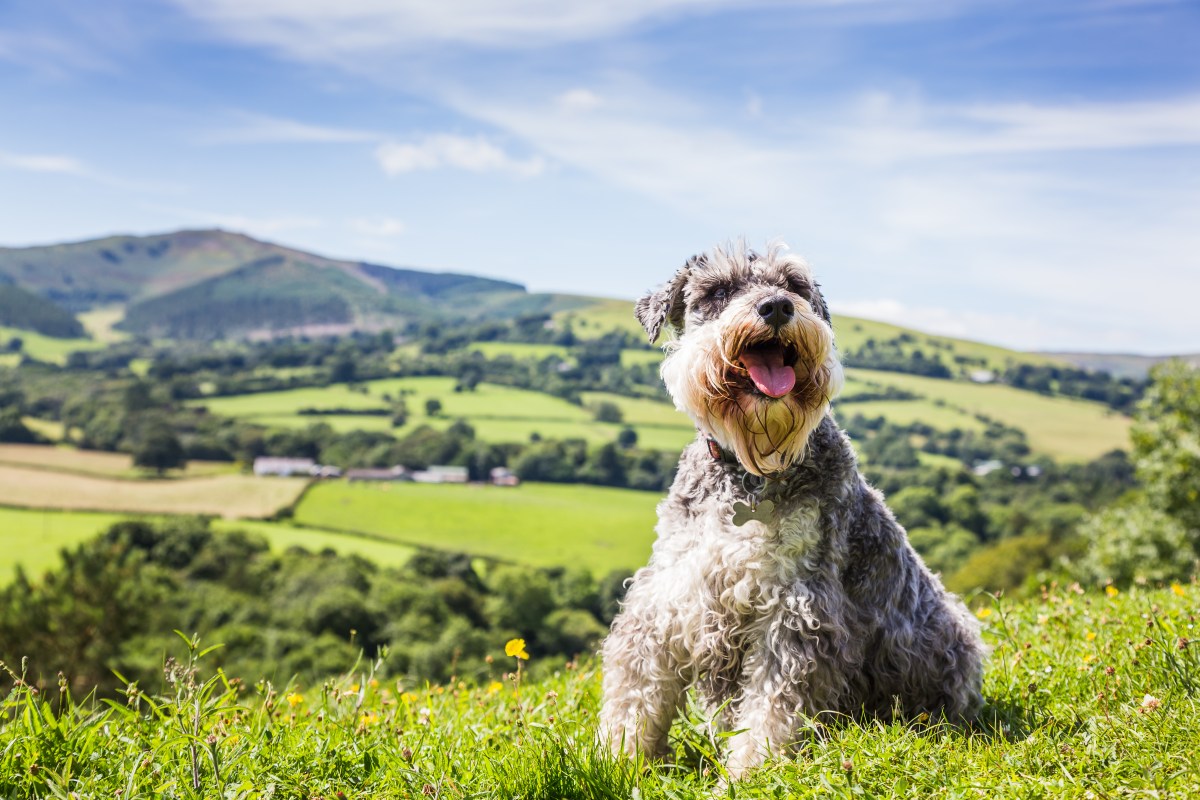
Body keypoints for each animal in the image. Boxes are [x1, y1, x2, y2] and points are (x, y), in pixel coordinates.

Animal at [597, 241, 984, 777]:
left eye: (794, 285)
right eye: (719, 290)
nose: (777, 307)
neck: (750, 474)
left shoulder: (796, 609)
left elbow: (773, 705)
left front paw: (748, 772)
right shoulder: (667, 595)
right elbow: (636, 689)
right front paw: (619, 759)